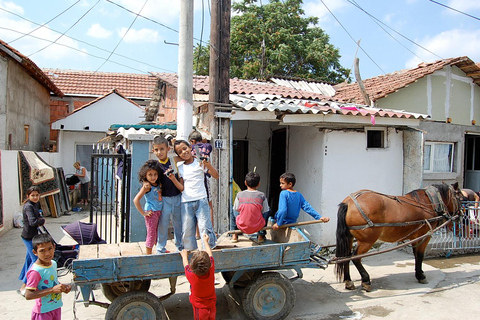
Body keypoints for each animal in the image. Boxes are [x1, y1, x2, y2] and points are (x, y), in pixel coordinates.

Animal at [334, 184, 462, 292]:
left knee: (345, 257)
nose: (461, 215)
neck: (428, 202)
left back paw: (348, 281)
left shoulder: (415, 237)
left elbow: (416, 255)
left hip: (350, 237)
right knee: (355, 258)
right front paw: (421, 276)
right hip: (367, 240)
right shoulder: (424, 236)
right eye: (459, 197)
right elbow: (420, 255)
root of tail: (349, 202)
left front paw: (419, 272)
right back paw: (366, 280)